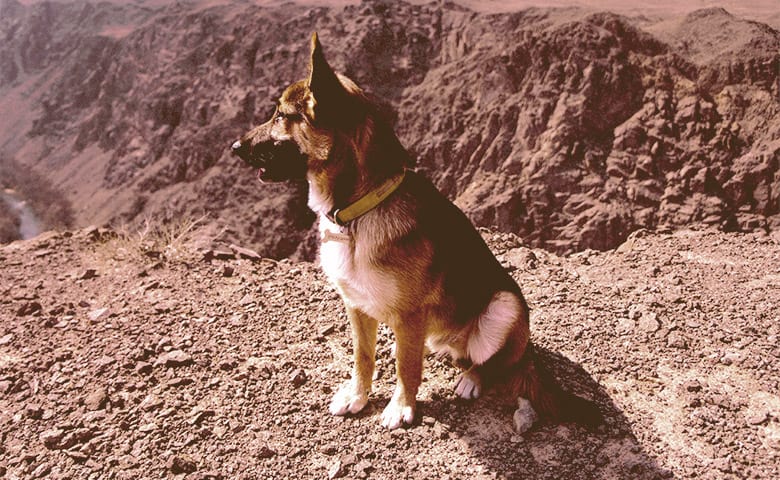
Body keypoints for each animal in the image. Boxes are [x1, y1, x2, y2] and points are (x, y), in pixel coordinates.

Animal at [229, 34, 600, 432]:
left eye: (281, 115)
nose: (234, 147)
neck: (360, 209)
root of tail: (527, 348)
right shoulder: (356, 306)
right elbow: (364, 357)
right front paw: (358, 396)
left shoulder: (409, 315)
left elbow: (406, 366)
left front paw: (401, 406)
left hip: (504, 306)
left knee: (494, 363)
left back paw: (471, 379)